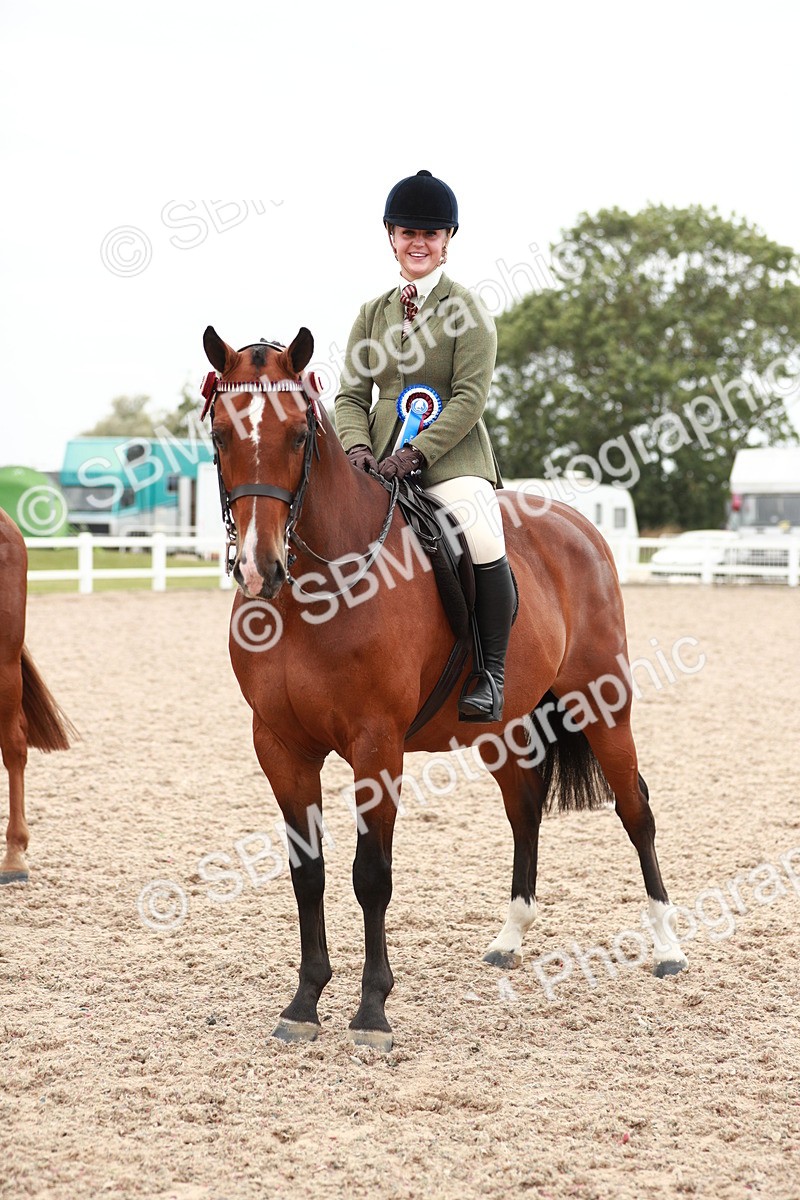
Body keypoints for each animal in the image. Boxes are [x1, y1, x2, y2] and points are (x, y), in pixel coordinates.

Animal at [201, 325, 688, 1050]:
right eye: (222, 433)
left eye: (297, 435)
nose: (261, 568)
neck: (315, 592)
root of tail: (575, 525)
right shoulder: (281, 746)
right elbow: (307, 874)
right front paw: (305, 1001)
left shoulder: (377, 746)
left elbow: (370, 876)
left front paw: (372, 1011)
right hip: (503, 727)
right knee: (524, 806)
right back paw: (510, 937)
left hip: (604, 706)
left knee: (636, 811)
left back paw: (667, 947)